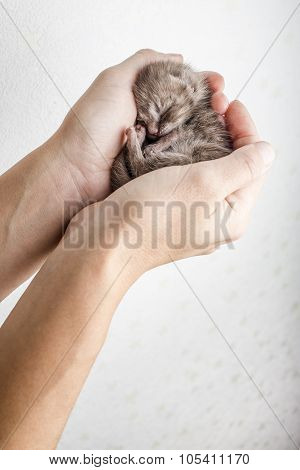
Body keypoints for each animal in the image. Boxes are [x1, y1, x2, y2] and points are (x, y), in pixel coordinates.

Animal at [110, 61, 232, 191]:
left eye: (165, 111)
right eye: (142, 120)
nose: (153, 132)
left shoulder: (195, 126)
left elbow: (175, 133)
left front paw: (156, 146)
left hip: (192, 155)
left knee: (141, 167)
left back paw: (136, 136)